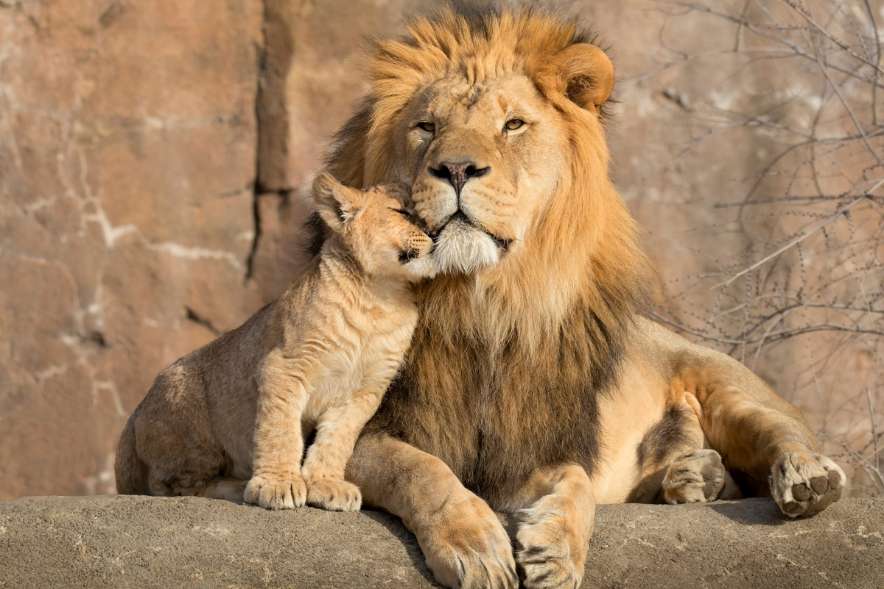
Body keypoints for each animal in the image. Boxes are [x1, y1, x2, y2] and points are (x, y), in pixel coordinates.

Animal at [116, 6, 846, 589]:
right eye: (426, 127)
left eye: (514, 125)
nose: (457, 168)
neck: (483, 304)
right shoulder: (378, 428)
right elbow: (425, 473)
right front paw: (476, 547)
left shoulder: (536, 442)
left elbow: (576, 485)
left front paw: (556, 552)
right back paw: (691, 477)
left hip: (721, 378)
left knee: (778, 428)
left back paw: (801, 478)